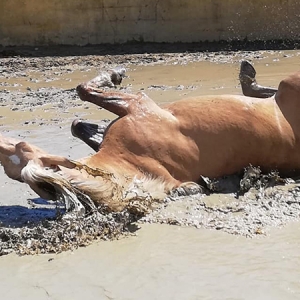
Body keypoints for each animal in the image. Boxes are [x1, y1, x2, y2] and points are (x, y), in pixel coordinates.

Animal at [0, 62, 300, 213]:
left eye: (19, 146)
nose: (2, 139)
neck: (127, 164)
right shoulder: (139, 104)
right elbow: (85, 90)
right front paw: (114, 74)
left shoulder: (135, 105)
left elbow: (80, 111)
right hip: (289, 81)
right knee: (263, 90)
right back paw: (248, 77)